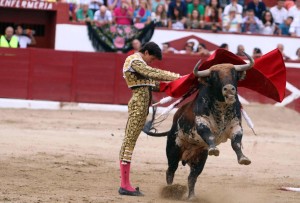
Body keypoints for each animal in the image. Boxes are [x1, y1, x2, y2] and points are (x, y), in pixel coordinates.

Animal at [144, 52, 255, 200]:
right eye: (214, 76)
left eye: (234, 74)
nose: (229, 89)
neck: (222, 107)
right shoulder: (201, 122)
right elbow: (209, 135)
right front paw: (214, 149)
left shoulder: (236, 126)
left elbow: (236, 143)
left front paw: (243, 158)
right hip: (173, 150)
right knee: (170, 171)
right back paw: (170, 191)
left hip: (200, 158)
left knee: (192, 177)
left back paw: (191, 196)